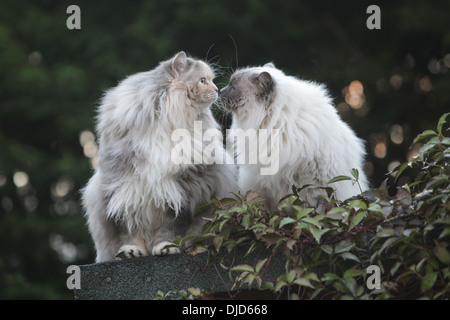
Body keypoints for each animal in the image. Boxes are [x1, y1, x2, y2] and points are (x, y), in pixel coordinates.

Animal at [85, 52, 239, 262]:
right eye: (202, 80)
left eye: (211, 80)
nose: (217, 89)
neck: (168, 117)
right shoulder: (123, 189)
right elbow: (128, 232)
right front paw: (131, 252)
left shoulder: (180, 192)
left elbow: (170, 229)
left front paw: (166, 248)